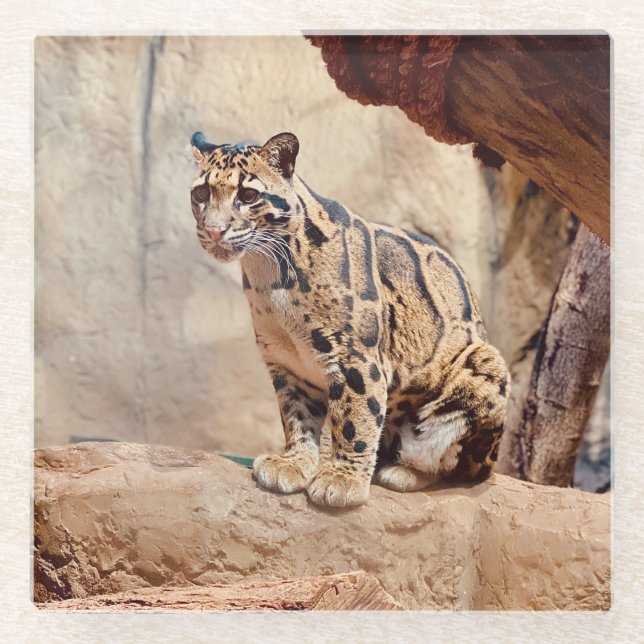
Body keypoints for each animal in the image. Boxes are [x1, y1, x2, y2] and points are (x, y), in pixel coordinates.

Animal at [189, 130, 509, 507]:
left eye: (248, 195)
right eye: (201, 193)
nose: (213, 231)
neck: (268, 272)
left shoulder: (354, 355)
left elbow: (355, 417)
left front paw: (341, 479)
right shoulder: (286, 362)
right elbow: (296, 416)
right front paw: (295, 462)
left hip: (485, 366)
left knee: (457, 466)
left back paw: (403, 471)